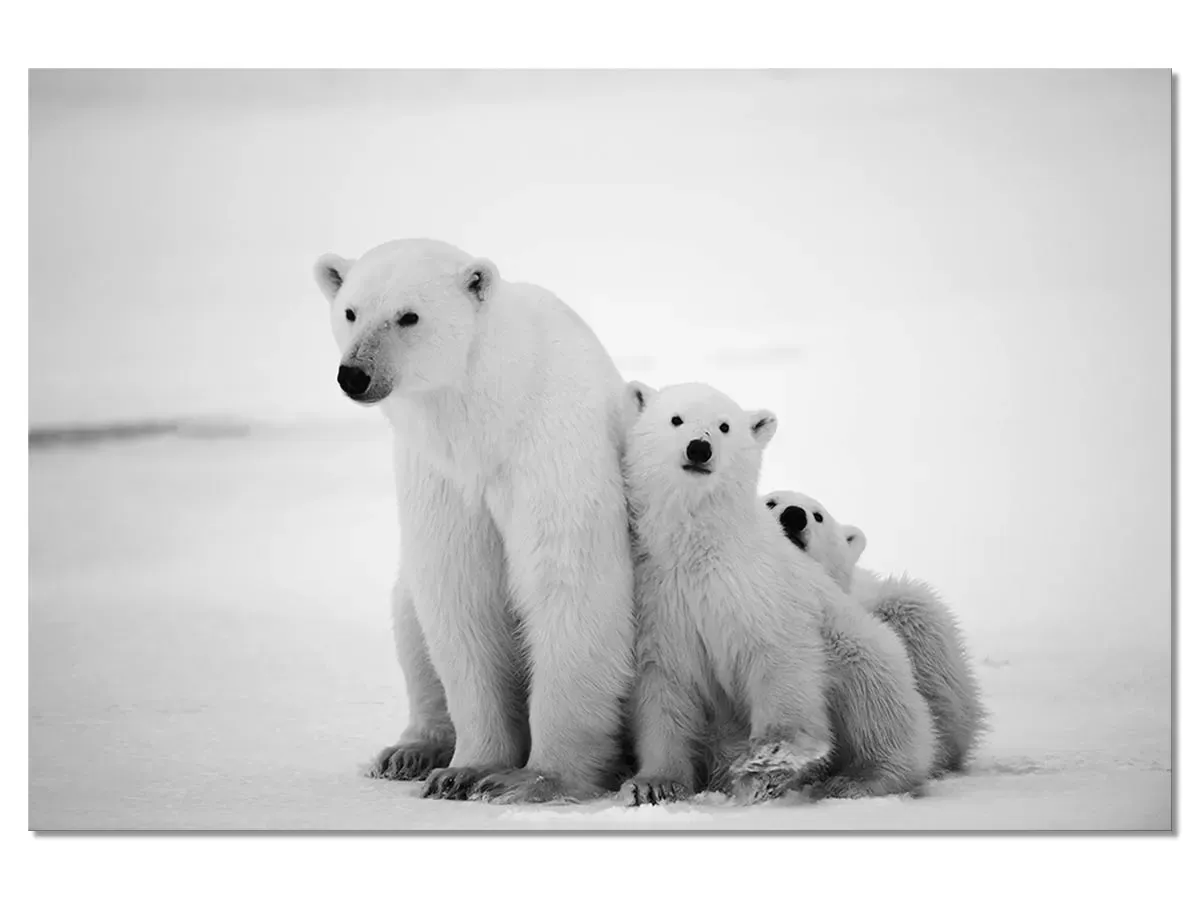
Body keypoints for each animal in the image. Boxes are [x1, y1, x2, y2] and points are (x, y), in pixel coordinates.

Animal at [314, 239, 636, 803]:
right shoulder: (439, 474)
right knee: (408, 616)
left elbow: (568, 584)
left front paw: (533, 779)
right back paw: (410, 750)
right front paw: (465, 770)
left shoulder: (551, 447)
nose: (354, 374)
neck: (488, 417)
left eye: (409, 316)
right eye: (351, 311)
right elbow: (459, 592)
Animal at [619, 381, 934, 805]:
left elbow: (779, 655)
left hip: (862, 646)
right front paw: (653, 784)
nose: (699, 448)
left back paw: (859, 778)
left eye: (724, 426)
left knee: (876, 699)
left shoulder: (760, 586)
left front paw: (771, 757)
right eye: (676, 419)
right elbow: (664, 686)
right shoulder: (660, 599)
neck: (700, 547)